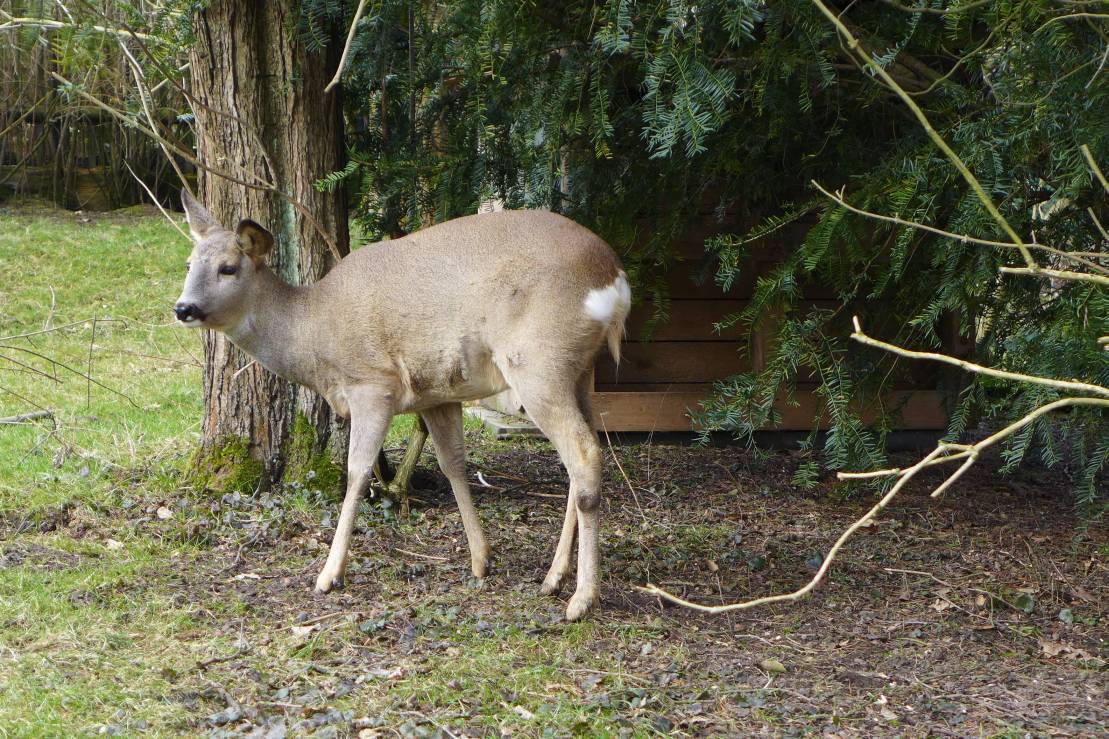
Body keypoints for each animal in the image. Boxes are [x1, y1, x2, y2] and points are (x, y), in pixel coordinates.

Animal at [170, 189, 625, 616]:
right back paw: (553, 578)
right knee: (581, 454)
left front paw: (329, 574)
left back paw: (582, 599)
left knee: (585, 453)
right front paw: (481, 559)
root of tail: (615, 279)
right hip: (576, 372)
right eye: (189, 264)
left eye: (228, 268)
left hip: (536, 363)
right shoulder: (438, 394)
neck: (313, 332)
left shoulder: (372, 384)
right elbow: (453, 464)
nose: (183, 308)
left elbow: (357, 472)